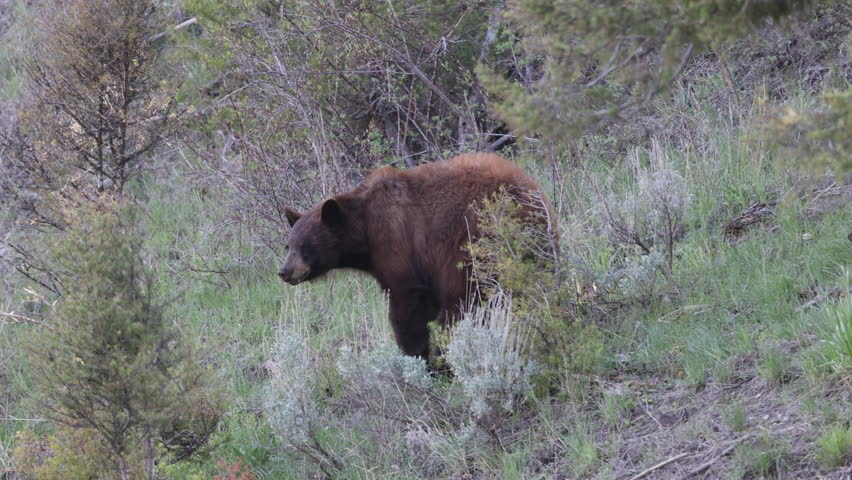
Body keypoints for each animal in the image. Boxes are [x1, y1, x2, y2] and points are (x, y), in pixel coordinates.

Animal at [278, 152, 558, 359]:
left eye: (305, 245)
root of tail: (530, 195)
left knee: (461, 303)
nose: (284, 272)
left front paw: (417, 357)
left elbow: (408, 307)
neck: (365, 226)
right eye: (288, 246)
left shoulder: (398, 246)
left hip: (472, 246)